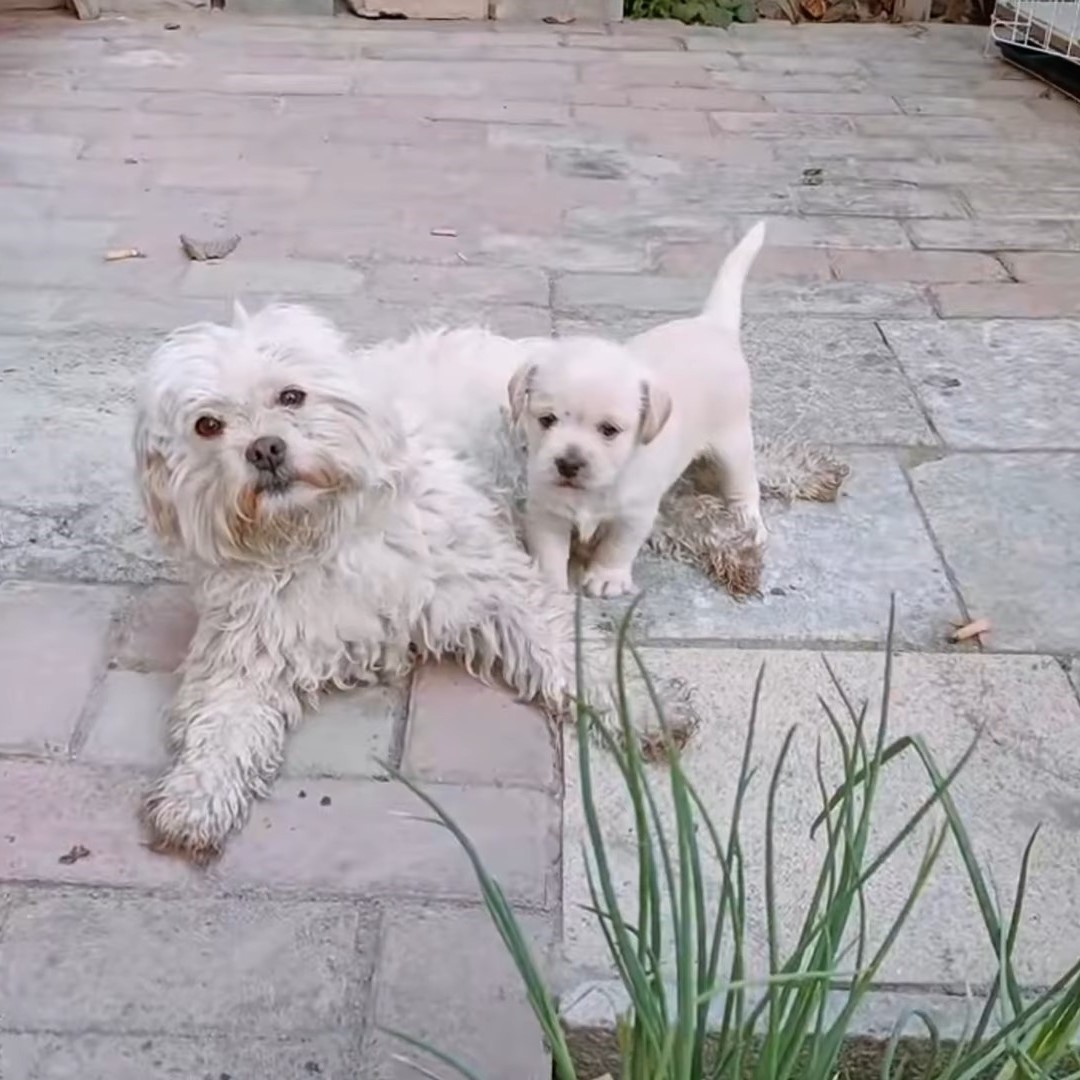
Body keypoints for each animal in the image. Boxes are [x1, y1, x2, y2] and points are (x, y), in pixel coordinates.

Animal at [133, 304, 574, 859]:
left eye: (291, 396)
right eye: (208, 425)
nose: (265, 449)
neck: (315, 535)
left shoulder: (486, 580)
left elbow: (558, 641)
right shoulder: (247, 650)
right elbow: (221, 725)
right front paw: (197, 795)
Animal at [509, 221, 764, 600]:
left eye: (609, 430)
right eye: (546, 420)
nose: (568, 464)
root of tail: (712, 324)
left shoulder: (635, 514)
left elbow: (617, 546)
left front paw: (607, 577)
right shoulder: (546, 510)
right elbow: (549, 551)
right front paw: (549, 588)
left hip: (733, 441)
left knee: (745, 487)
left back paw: (750, 524)